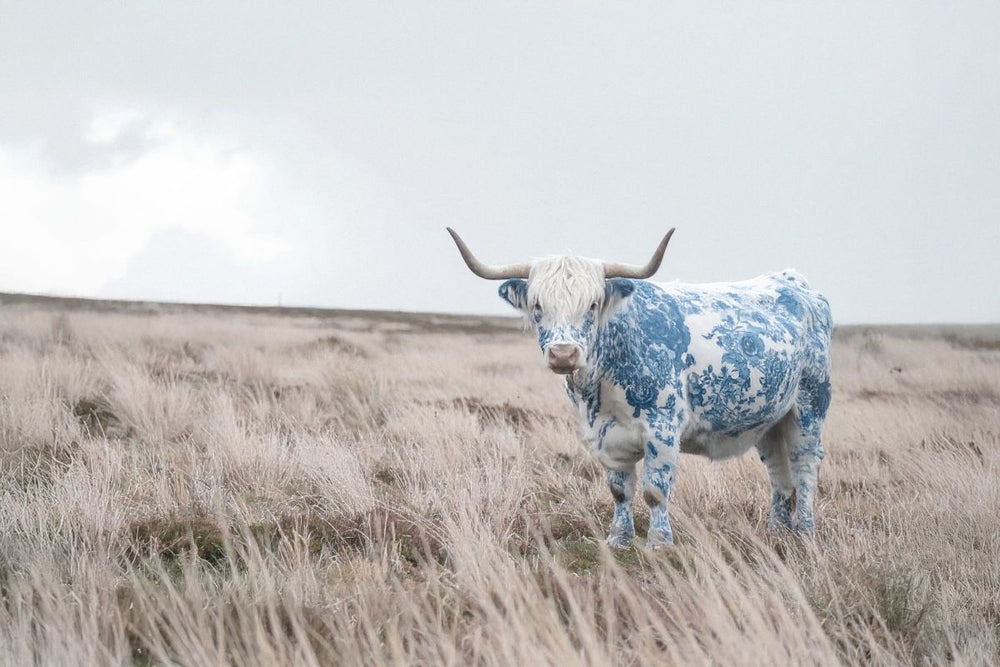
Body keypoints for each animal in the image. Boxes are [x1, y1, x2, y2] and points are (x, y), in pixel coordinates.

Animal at [447, 228, 832, 548]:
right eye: (538, 305)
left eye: (592, 304)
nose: (563, 353)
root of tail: (794, 282)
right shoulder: (605, 435)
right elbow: (620, 491)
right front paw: (619, 539)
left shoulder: (662, 428)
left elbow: (655, 491)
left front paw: (659, 543)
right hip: (770, 420)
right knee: (778, 472)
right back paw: (776, 530)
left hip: (809, 407)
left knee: (804, 466)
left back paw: (805, 531)